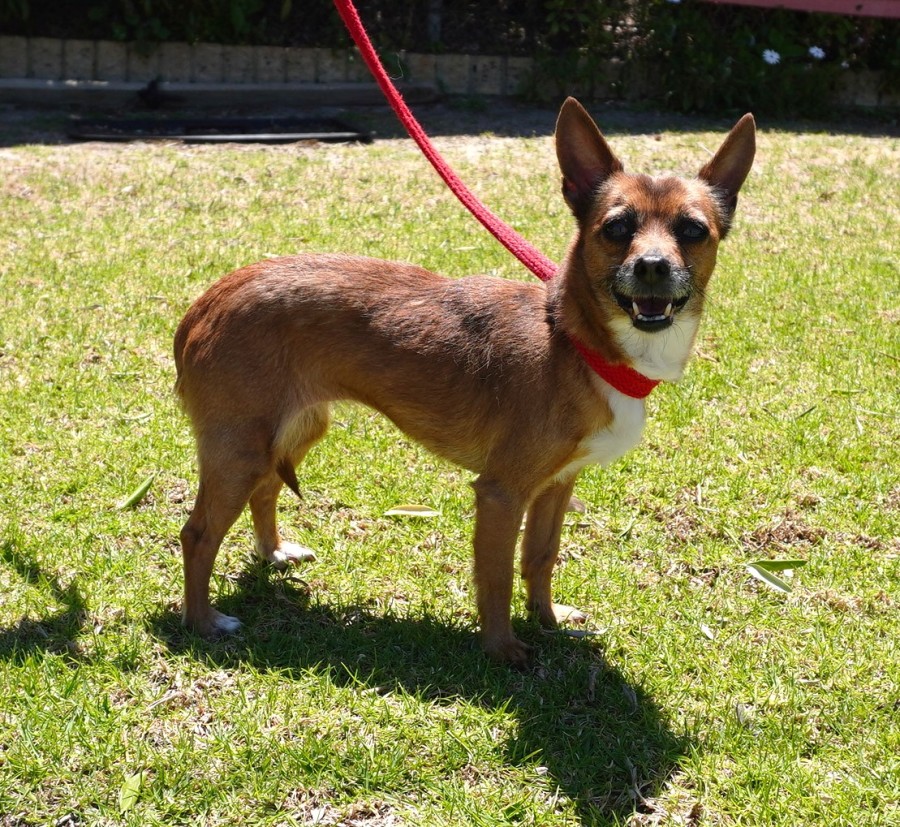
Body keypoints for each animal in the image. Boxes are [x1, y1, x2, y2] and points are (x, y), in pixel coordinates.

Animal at [174, 98, 755, 665]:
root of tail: (207, 302)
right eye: (616, 228)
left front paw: (549, 621)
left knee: (266, 488)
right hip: (241, 449)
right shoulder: (502, 494)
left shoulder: (556, 485)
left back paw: (273, 552)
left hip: (295, 429)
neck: (576, 343)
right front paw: (503, 651)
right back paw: (204, 623)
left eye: (693, 230)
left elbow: (540, 558)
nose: (652, 266)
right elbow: (496, 578)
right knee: (197, 534)